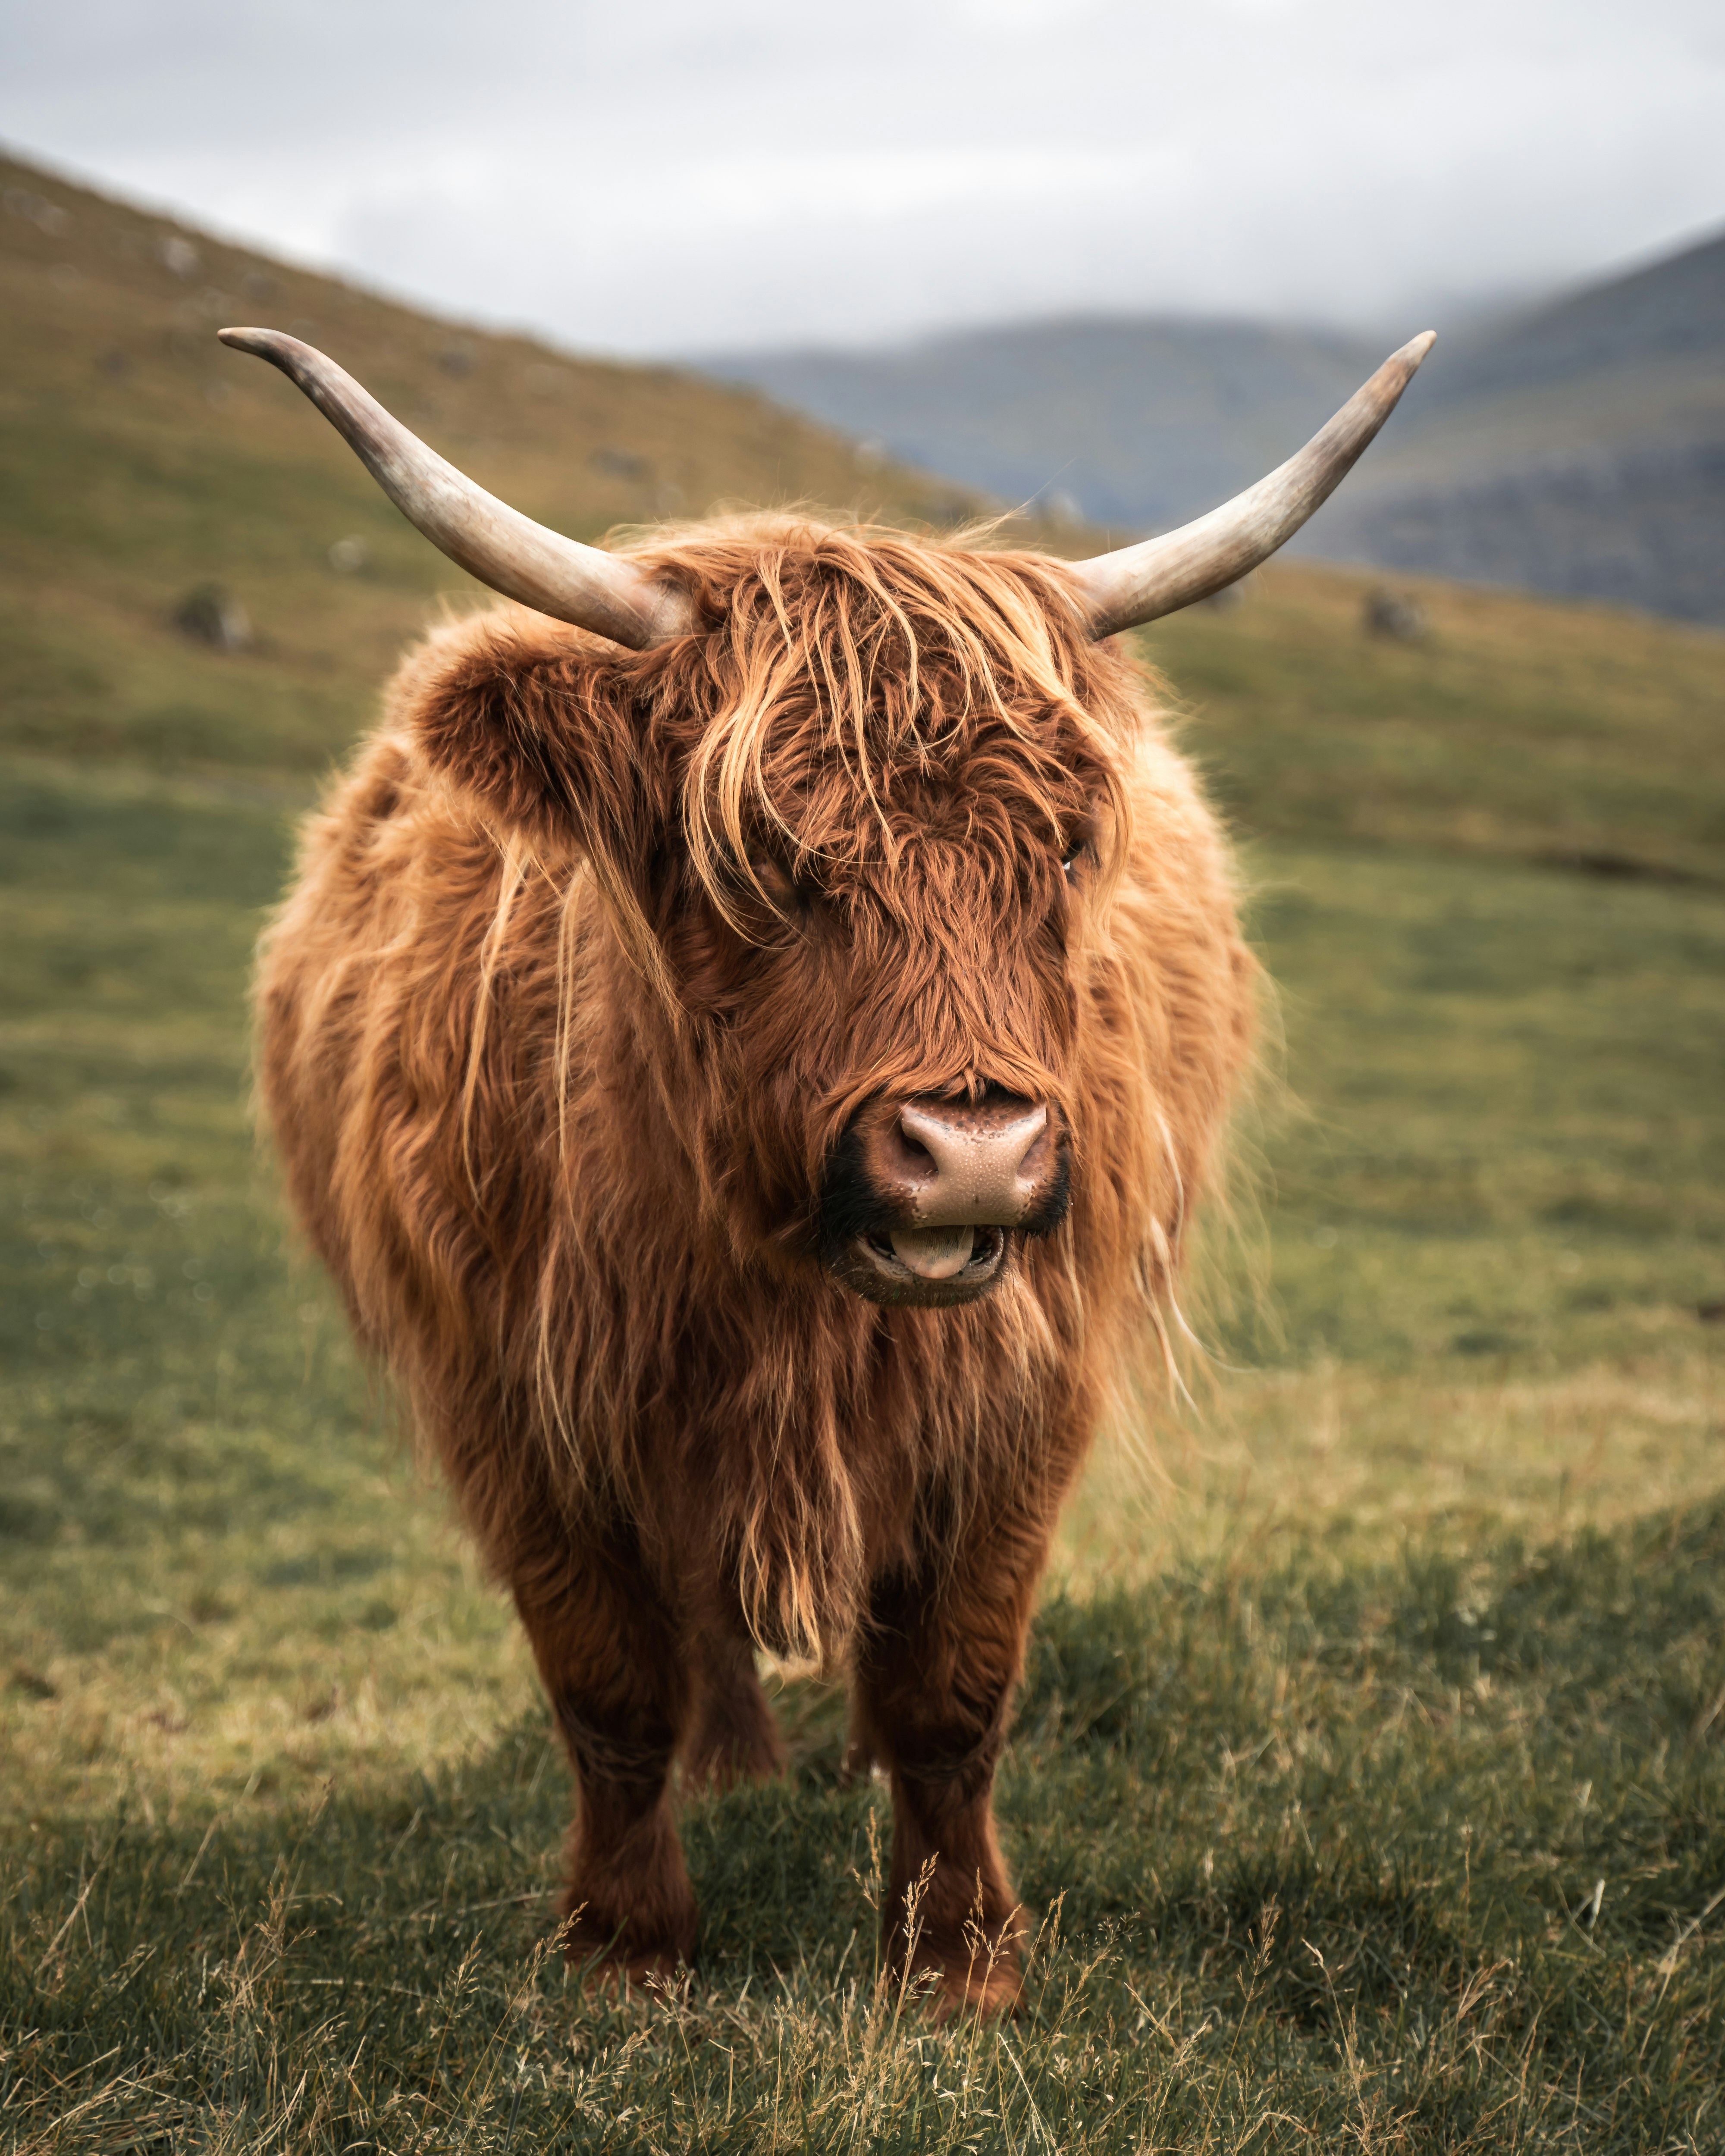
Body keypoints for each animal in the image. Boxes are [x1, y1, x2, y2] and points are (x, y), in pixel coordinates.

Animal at [222, 328, 1432, 2009]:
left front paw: (960, 1958)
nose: (972, 1150)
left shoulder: (1025, 1391)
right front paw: (626, 1947)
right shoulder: (510, 1397)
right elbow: (608, 1683)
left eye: (1066, 849)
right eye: (757, 857)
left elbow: (952, 1689)